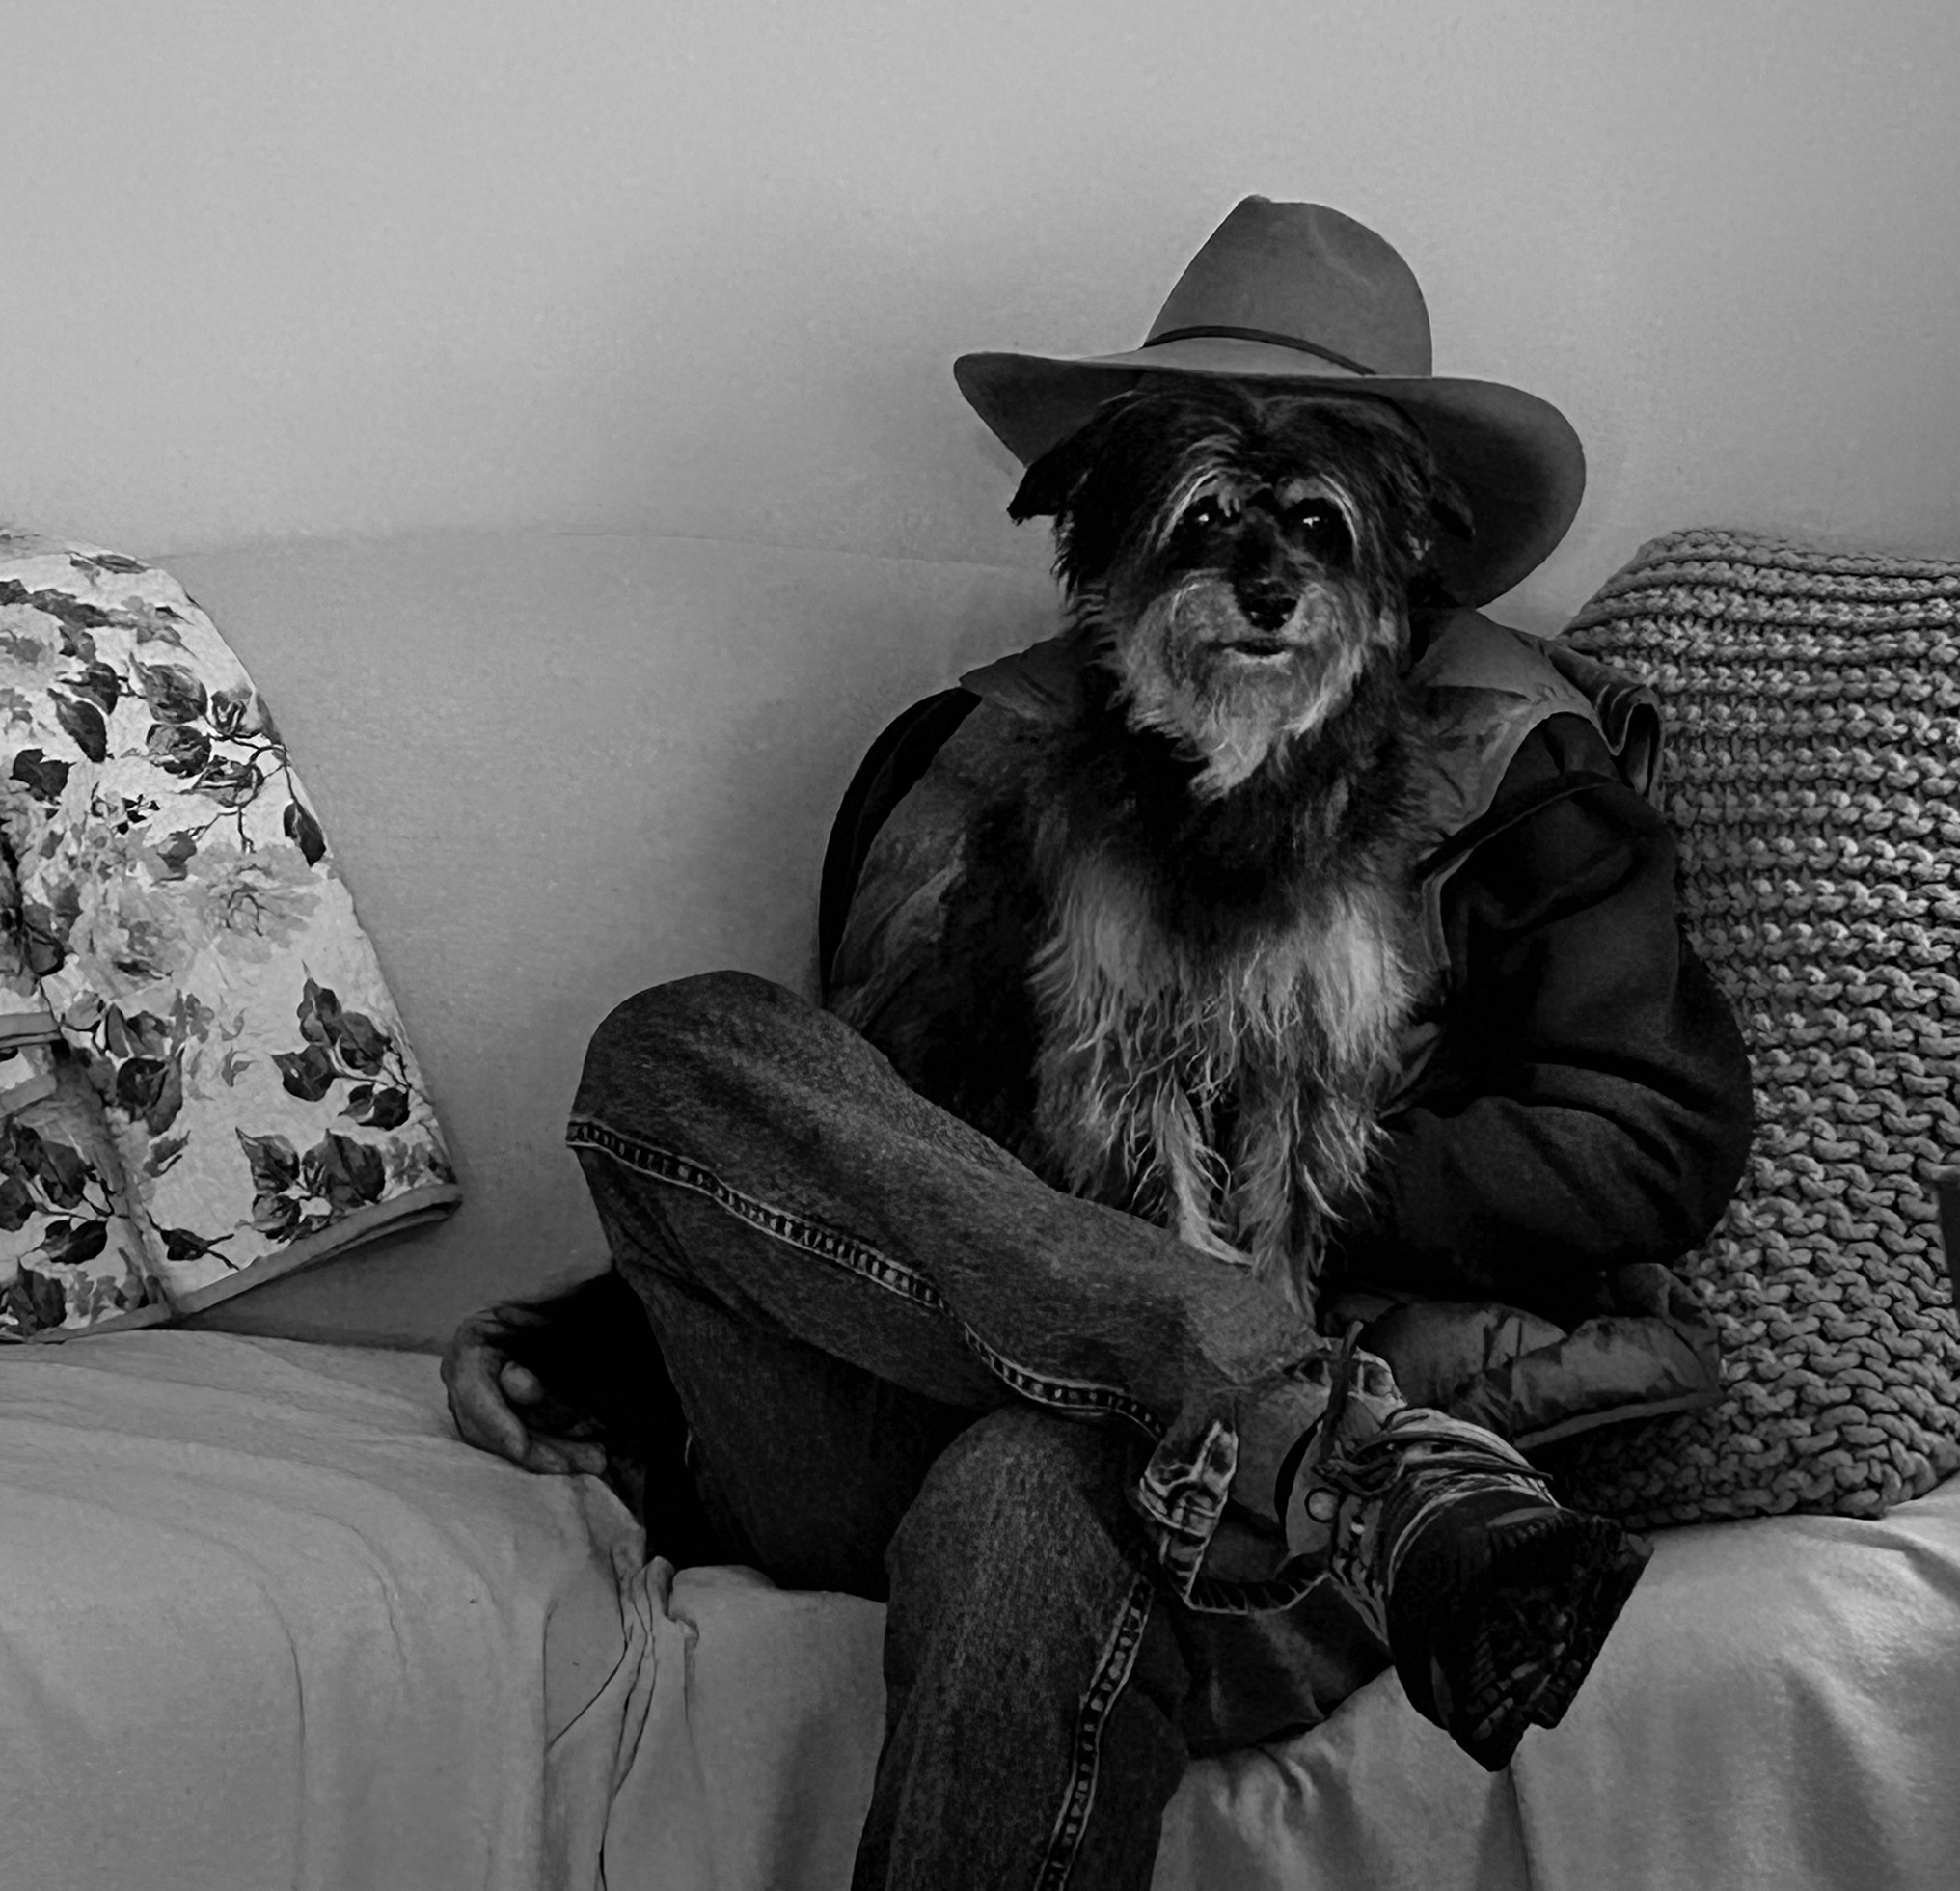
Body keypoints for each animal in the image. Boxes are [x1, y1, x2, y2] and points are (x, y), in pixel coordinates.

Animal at [1003, 375, 1465, 1308]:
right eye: (1202, 516)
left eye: (1319, 521)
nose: (1271, 599)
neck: (1237, 776)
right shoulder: (1128, 1043)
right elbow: (1169, 1203)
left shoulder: (1309, 1039)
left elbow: (1283, 1209)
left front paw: (1283, 1316)